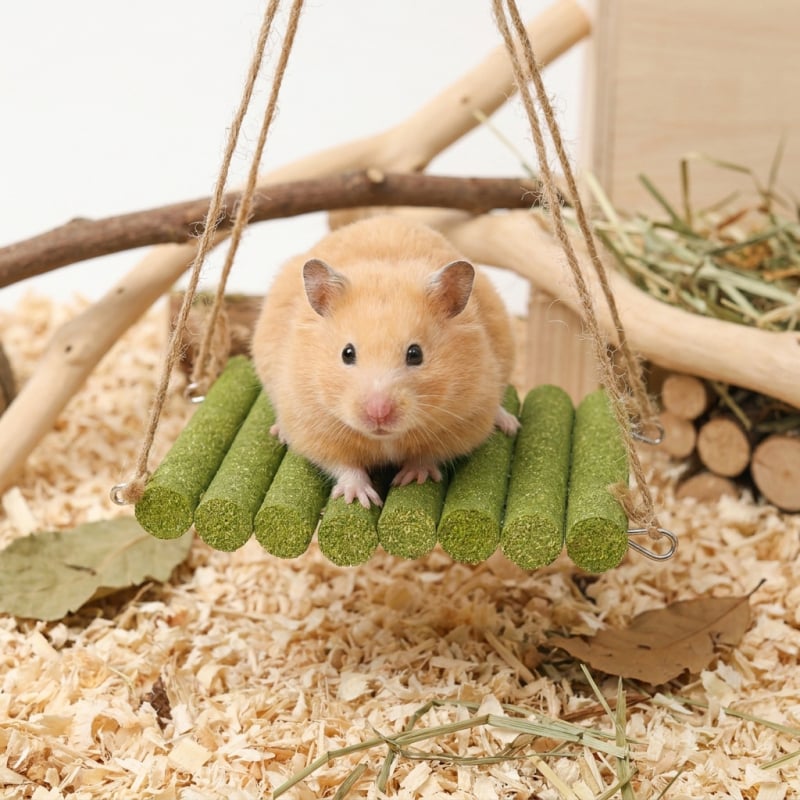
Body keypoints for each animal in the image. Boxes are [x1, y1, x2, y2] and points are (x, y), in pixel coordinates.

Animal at [251, 215, 519, 508]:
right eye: (347, 353)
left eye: (415, 354)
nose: (378, 413)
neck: (386, 438)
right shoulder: (313, 425)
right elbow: (344, 465)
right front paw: (359, 499)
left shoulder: (465, 421)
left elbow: (428, 455)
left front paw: (410, 478)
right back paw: (280, 432)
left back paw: (509, 424)